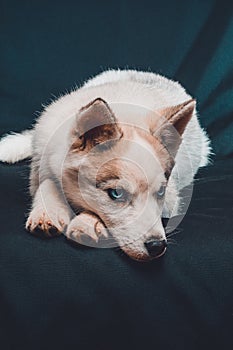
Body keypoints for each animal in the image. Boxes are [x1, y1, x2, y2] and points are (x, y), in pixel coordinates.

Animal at [0, 69, 211, 262]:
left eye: (160, 192)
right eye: (116, 193)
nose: (157, 246)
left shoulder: (171, 200)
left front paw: (88, 223)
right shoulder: (42, 165)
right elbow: (48, 183)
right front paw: (46, 212)